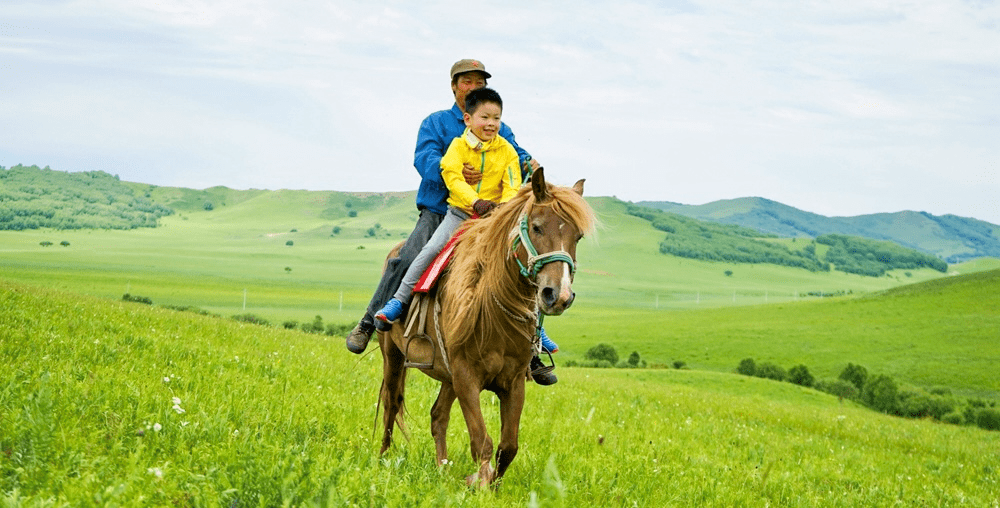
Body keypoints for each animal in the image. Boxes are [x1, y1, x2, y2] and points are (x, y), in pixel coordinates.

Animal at [376, 167, 592, 488]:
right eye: (537, 227)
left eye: (577, 236)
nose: (559, 295)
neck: (492, 310)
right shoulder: (466, 377)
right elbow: (482, 442)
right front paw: (480, 483)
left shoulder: (512, 383)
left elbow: (508, 447)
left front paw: (488, 483)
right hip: (393, 355)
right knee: (391, 404)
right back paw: (383, 459)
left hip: (447, 375)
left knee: (438, 416)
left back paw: (442, 469)